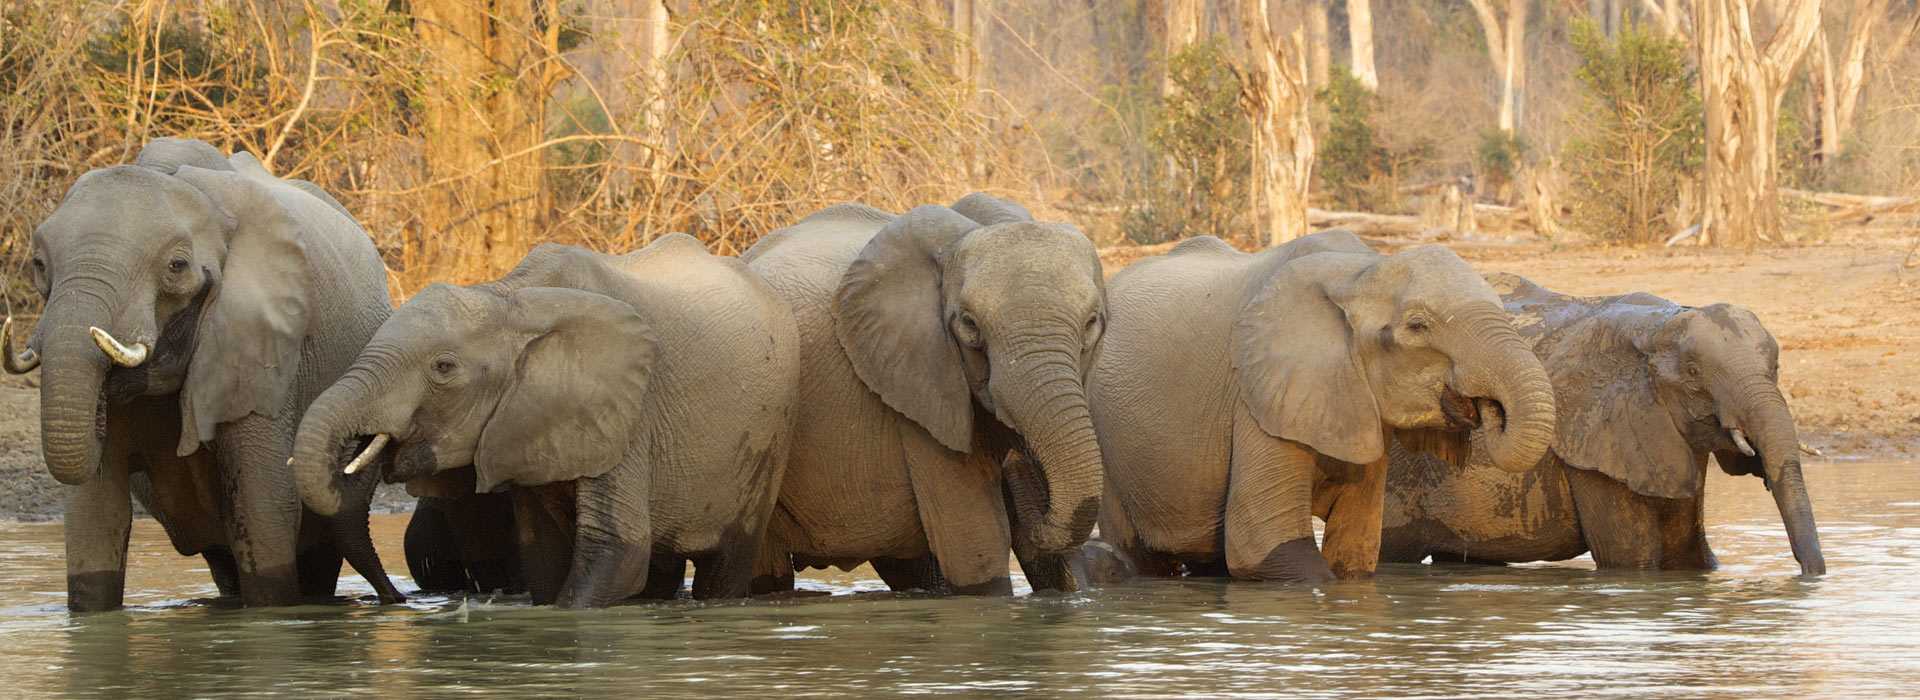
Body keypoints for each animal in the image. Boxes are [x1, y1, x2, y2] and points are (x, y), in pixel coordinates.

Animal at [288, 235, 798, 606]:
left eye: (444, 368)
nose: (397, 600)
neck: (510, 299)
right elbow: (542, 556)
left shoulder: (628, 410)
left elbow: (618, 550)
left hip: (767, 439)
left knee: (726, 564)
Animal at [1082, 232, 1559, 579]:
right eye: (1418, 326)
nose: (1486, 407)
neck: (1360, 271)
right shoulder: (1258, 396)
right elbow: (1265, 545)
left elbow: (1355, 551)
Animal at [1382, 272, 1827, 571]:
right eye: (1694, 374)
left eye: (1776, 366)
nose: (1809, 574)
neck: (1657, 326)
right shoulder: (1595, 440)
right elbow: (1632, 560)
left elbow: (1691, 556)